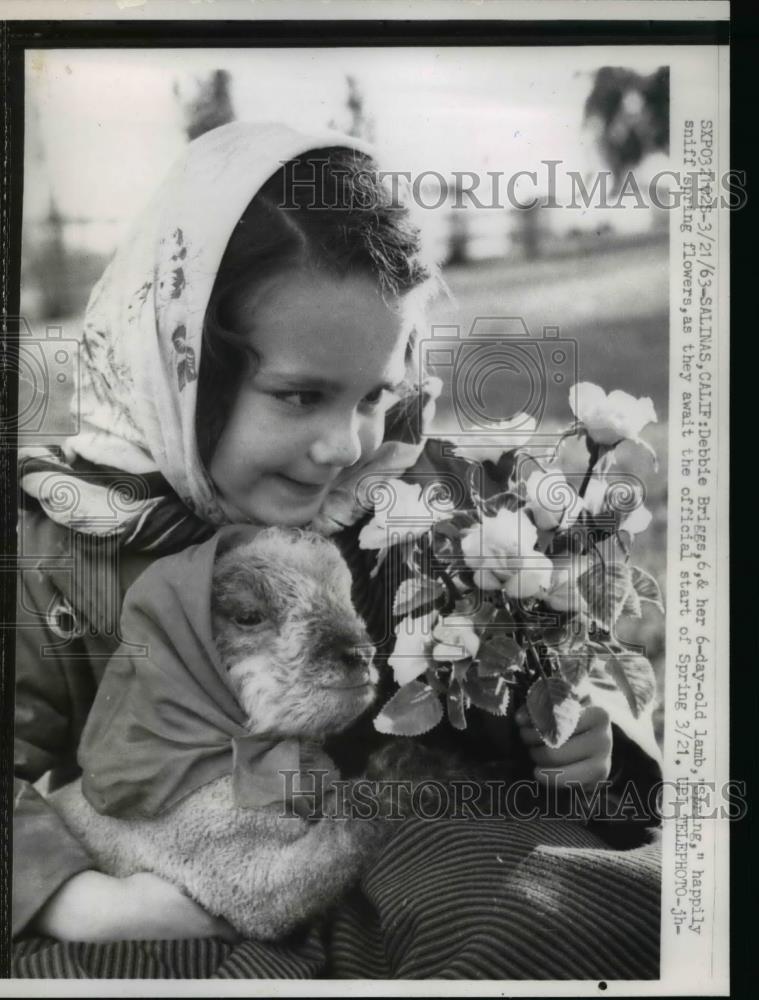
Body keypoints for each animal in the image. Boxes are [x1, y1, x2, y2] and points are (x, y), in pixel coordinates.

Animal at [46, 528, 398, 940]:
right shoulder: (229, 857)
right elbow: (323, 857)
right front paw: (404, 773)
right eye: (247, 616)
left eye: (346, 597)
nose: (360, 654)